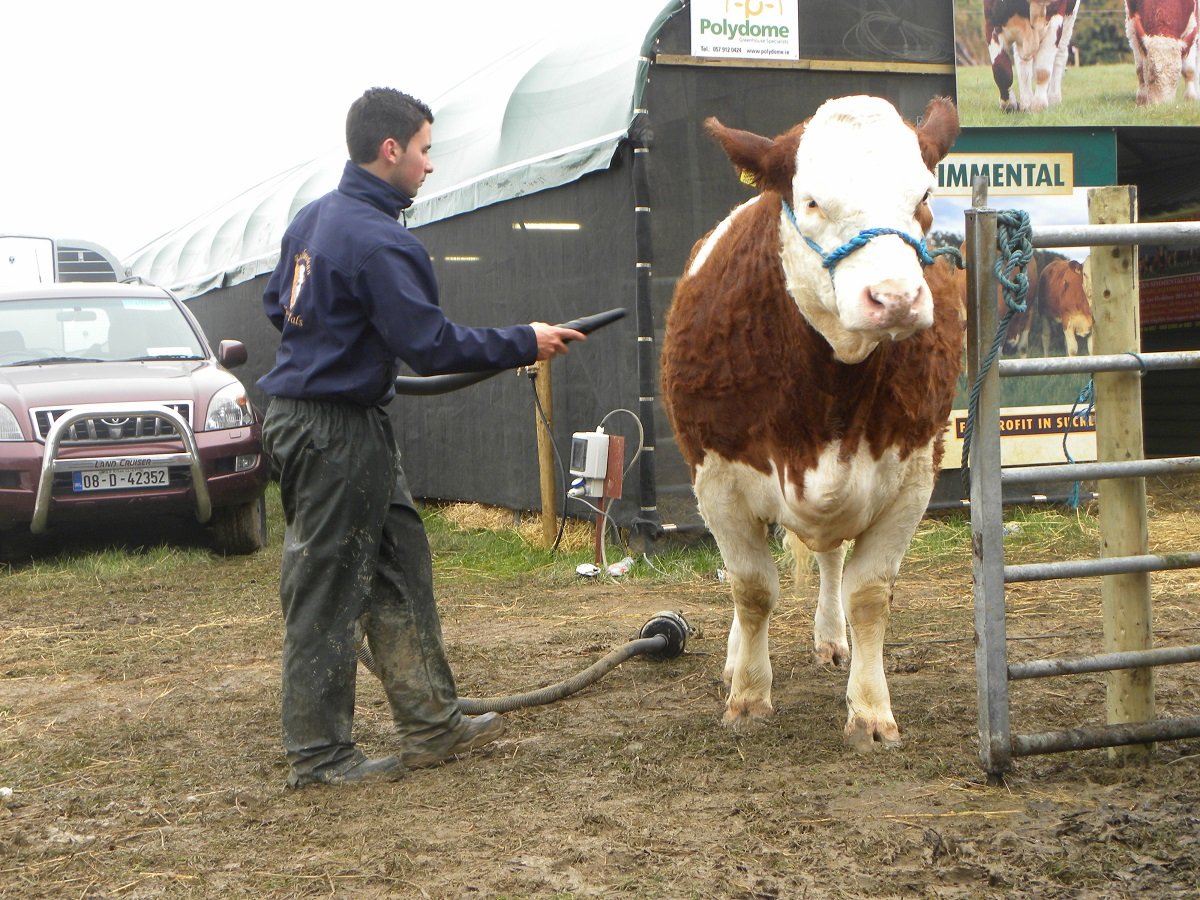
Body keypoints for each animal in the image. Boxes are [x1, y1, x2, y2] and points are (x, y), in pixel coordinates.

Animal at [660, 96, 963, 751]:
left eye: (924, 194)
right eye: (813, 202)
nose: (895, 298)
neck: (831, 391)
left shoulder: (912, 478)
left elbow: (869, 593)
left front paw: (871, 712)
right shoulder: (717, 479)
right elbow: (752, 589)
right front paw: (748, 696)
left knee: (829, 561)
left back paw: (830, 638)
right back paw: (735, 661)